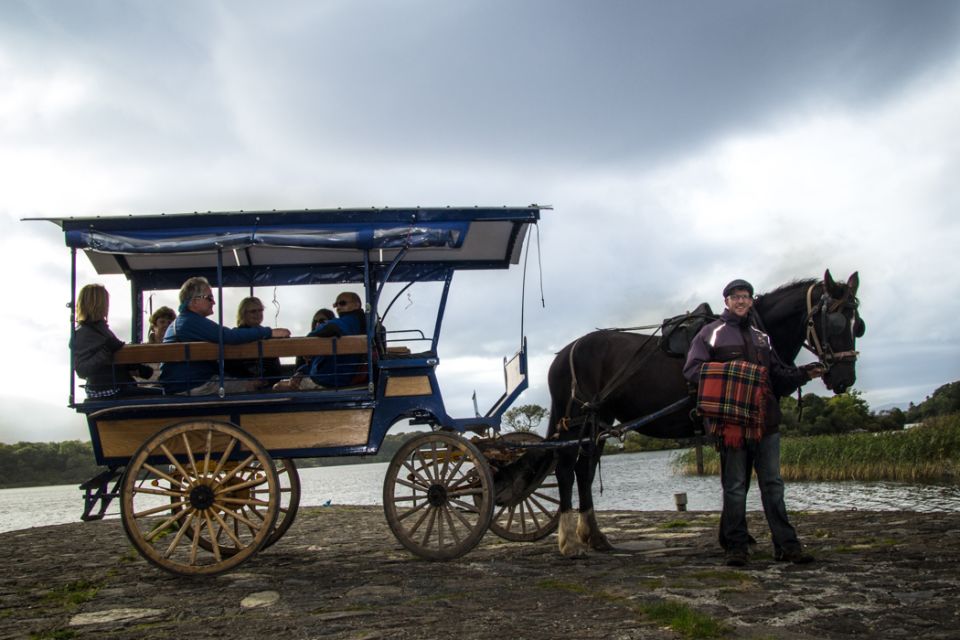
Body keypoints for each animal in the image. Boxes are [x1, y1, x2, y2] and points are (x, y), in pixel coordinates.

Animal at [544, 270, 868, 556]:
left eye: (858, 325)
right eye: (833, 322)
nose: (844, 378)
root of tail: (564, 353)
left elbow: (737, 480)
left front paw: (735, 537)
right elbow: (737, 480)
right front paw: (736, 538)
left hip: (597, 422)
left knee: (584, 472)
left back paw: (594, 536)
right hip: (575, 420)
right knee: (565, 470)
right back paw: (569, 541)